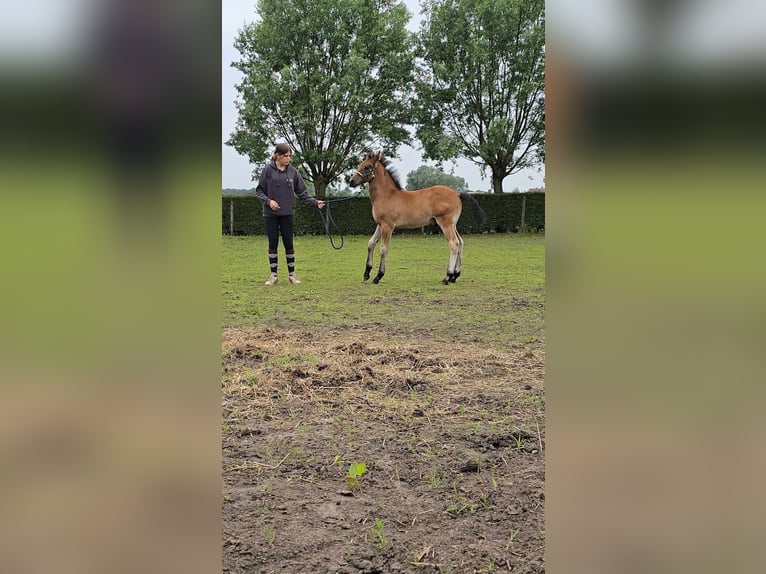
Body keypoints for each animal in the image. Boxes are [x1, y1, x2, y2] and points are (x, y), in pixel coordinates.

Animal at [350, 153, 486, 286]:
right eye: (360, 164)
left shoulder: (387, 226)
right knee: (461, 242)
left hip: (446, 224)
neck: (387, 196)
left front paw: (378, 276)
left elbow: (383, 249)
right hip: (453, 225)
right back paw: (455, 276)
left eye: (367, 167)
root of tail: (457, 194)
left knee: (454, 244)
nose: (351, 181)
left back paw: (447, 277)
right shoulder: (380, 224)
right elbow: (371, 243)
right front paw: (366, 273)